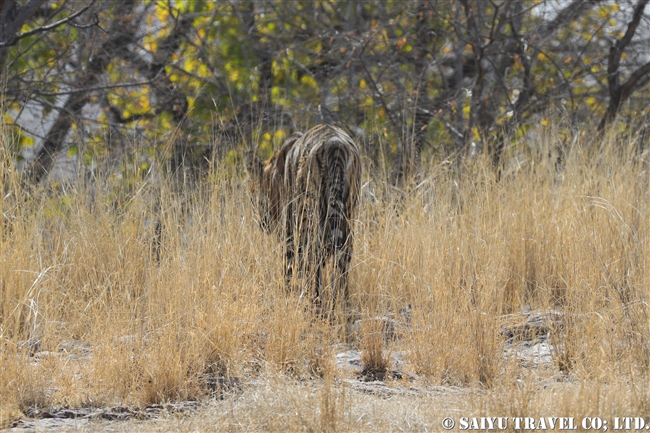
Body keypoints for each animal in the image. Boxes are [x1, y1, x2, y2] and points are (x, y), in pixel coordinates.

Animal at [246, 123, 362, 316]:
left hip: (309, 214)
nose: (262, 224)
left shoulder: (289, 227)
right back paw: (341, 304)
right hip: (348, 215)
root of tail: (335, 143)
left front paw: (287, 294)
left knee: (314, 257)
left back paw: (316, 303)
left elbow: (289, 265)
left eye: (252, 196)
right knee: (342, 261)